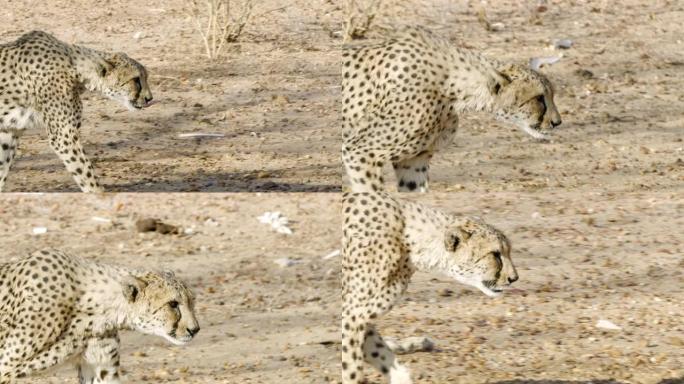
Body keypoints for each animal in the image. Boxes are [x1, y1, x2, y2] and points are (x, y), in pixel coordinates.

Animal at [0, 30, 152, 194]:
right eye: (136, 80)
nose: (150, 98)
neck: (75, 68)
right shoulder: (64, 136)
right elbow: (85, 172)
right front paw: (99, 194)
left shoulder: (9, 132)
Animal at [342, 192, 520, 384]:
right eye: (495, 254)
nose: (514, 278)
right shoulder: (353, 314)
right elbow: (352, 369)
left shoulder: (358, 317)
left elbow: (379, 354)